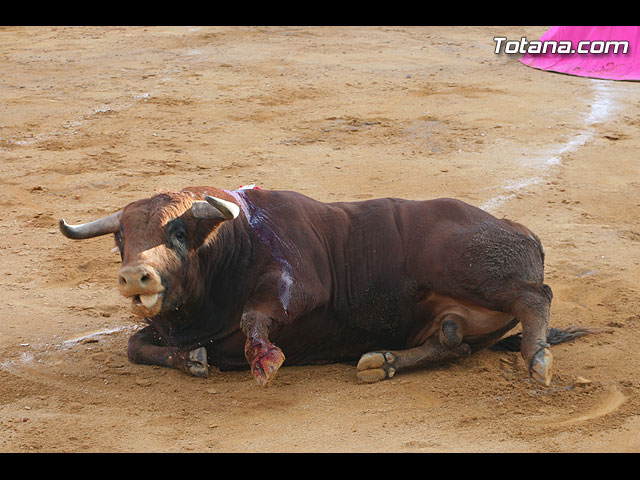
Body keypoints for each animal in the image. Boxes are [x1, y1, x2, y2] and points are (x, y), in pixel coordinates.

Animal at [60, 186, 600, 388]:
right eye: (121, 239)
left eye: (177, 232)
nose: (136, 276)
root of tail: (518, 229)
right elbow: (135, 344)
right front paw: (190, 359)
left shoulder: (300, 283)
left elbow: (257, 314)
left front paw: (264, 358)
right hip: (455, 315)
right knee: (453, 343)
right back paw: (382, 362)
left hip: (467, 270)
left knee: (536, 296)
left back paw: (537, 359)